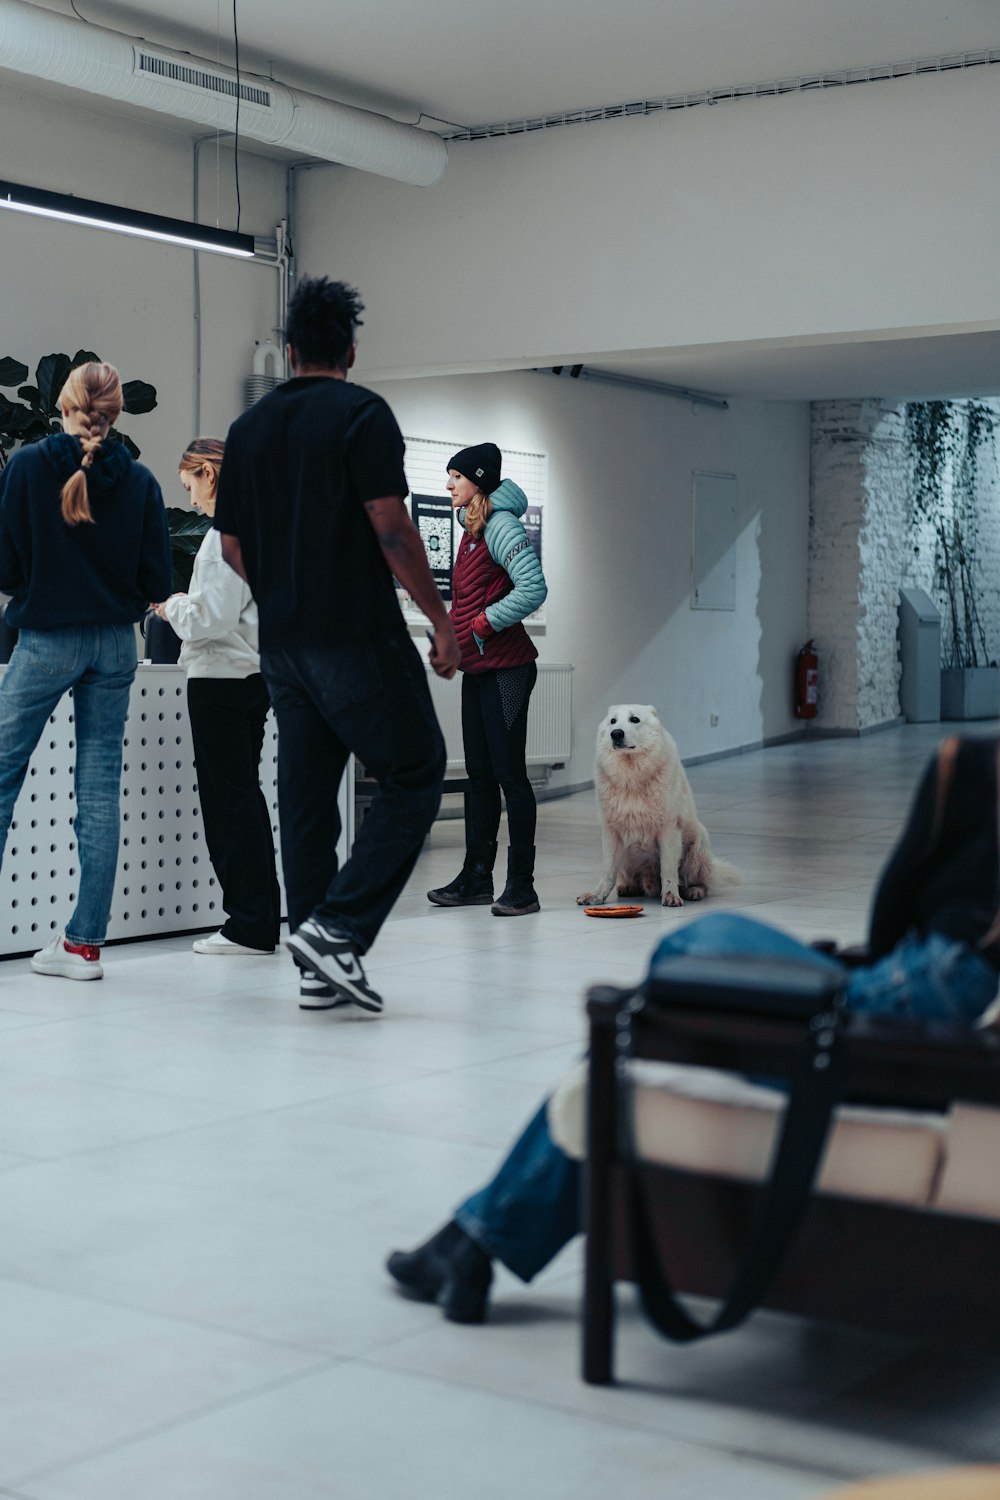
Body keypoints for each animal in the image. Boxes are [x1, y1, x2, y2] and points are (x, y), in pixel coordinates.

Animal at [575, 708, 740, 906]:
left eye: (634, 719)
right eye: (613, 721)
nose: (616, 734)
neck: (631, 778)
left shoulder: (668, 831)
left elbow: (668, 870)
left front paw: (670, 895)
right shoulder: (612, 832)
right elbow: (608, 871)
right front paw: (596, 895)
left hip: (697, 848)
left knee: (700, 882)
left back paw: (694, 891)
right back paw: (628, 888)